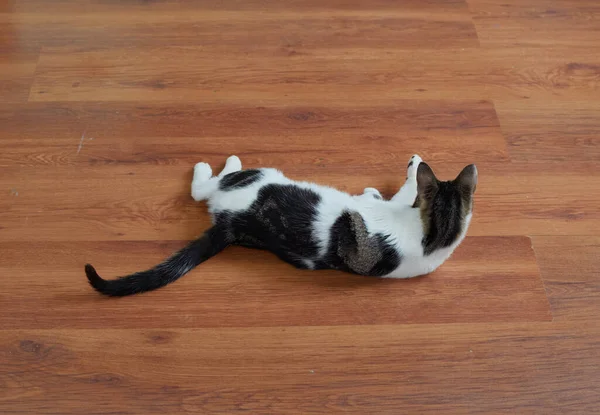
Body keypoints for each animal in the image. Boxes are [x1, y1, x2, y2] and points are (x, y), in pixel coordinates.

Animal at [84, 154, 478, 298]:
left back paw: (219, 164)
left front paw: (414, 164)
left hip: (259, 178)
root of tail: (231, 223)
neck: (434, 238)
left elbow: (408, 187)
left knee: (206, 189)